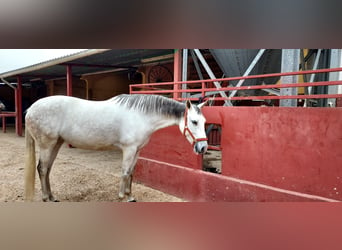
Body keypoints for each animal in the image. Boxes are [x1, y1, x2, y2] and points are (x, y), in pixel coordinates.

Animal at [24, 94, 208, 201]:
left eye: (204, 122)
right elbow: (125, 172)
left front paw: (130, 196)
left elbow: (132, 173)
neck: (141, 116)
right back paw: (46, 197)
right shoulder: (129, 149)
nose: (203, 147)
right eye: (194, 122)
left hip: (56, 143)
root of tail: (30, 109)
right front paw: (121, 196)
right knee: (42, 169)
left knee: (47, 169)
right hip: (47, 145)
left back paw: (52, 196)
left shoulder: (137, 150)